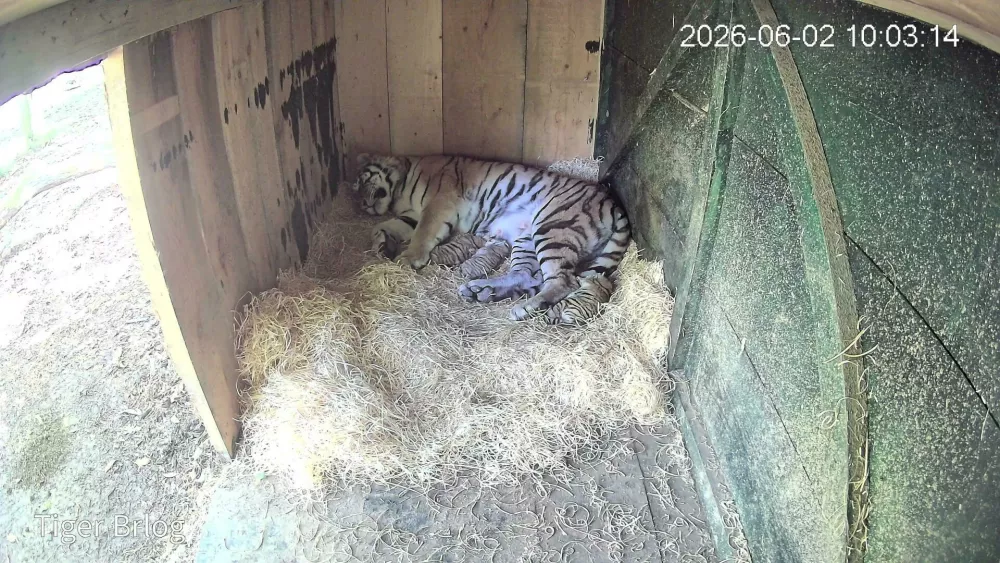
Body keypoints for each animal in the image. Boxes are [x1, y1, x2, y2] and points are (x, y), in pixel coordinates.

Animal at [352, 154, 631, 324]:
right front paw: (381, 242)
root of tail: (613, 205)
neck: (400, 190)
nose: (363, 204)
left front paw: (408, 258)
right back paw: (481, 291)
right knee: (527, 275)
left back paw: (524, 308)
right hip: (528, 239)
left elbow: (423, 232)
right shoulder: (410, 215)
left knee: (563, 281)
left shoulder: (438, 203)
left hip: (552, 226)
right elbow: (385, 226)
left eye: (360, 181)